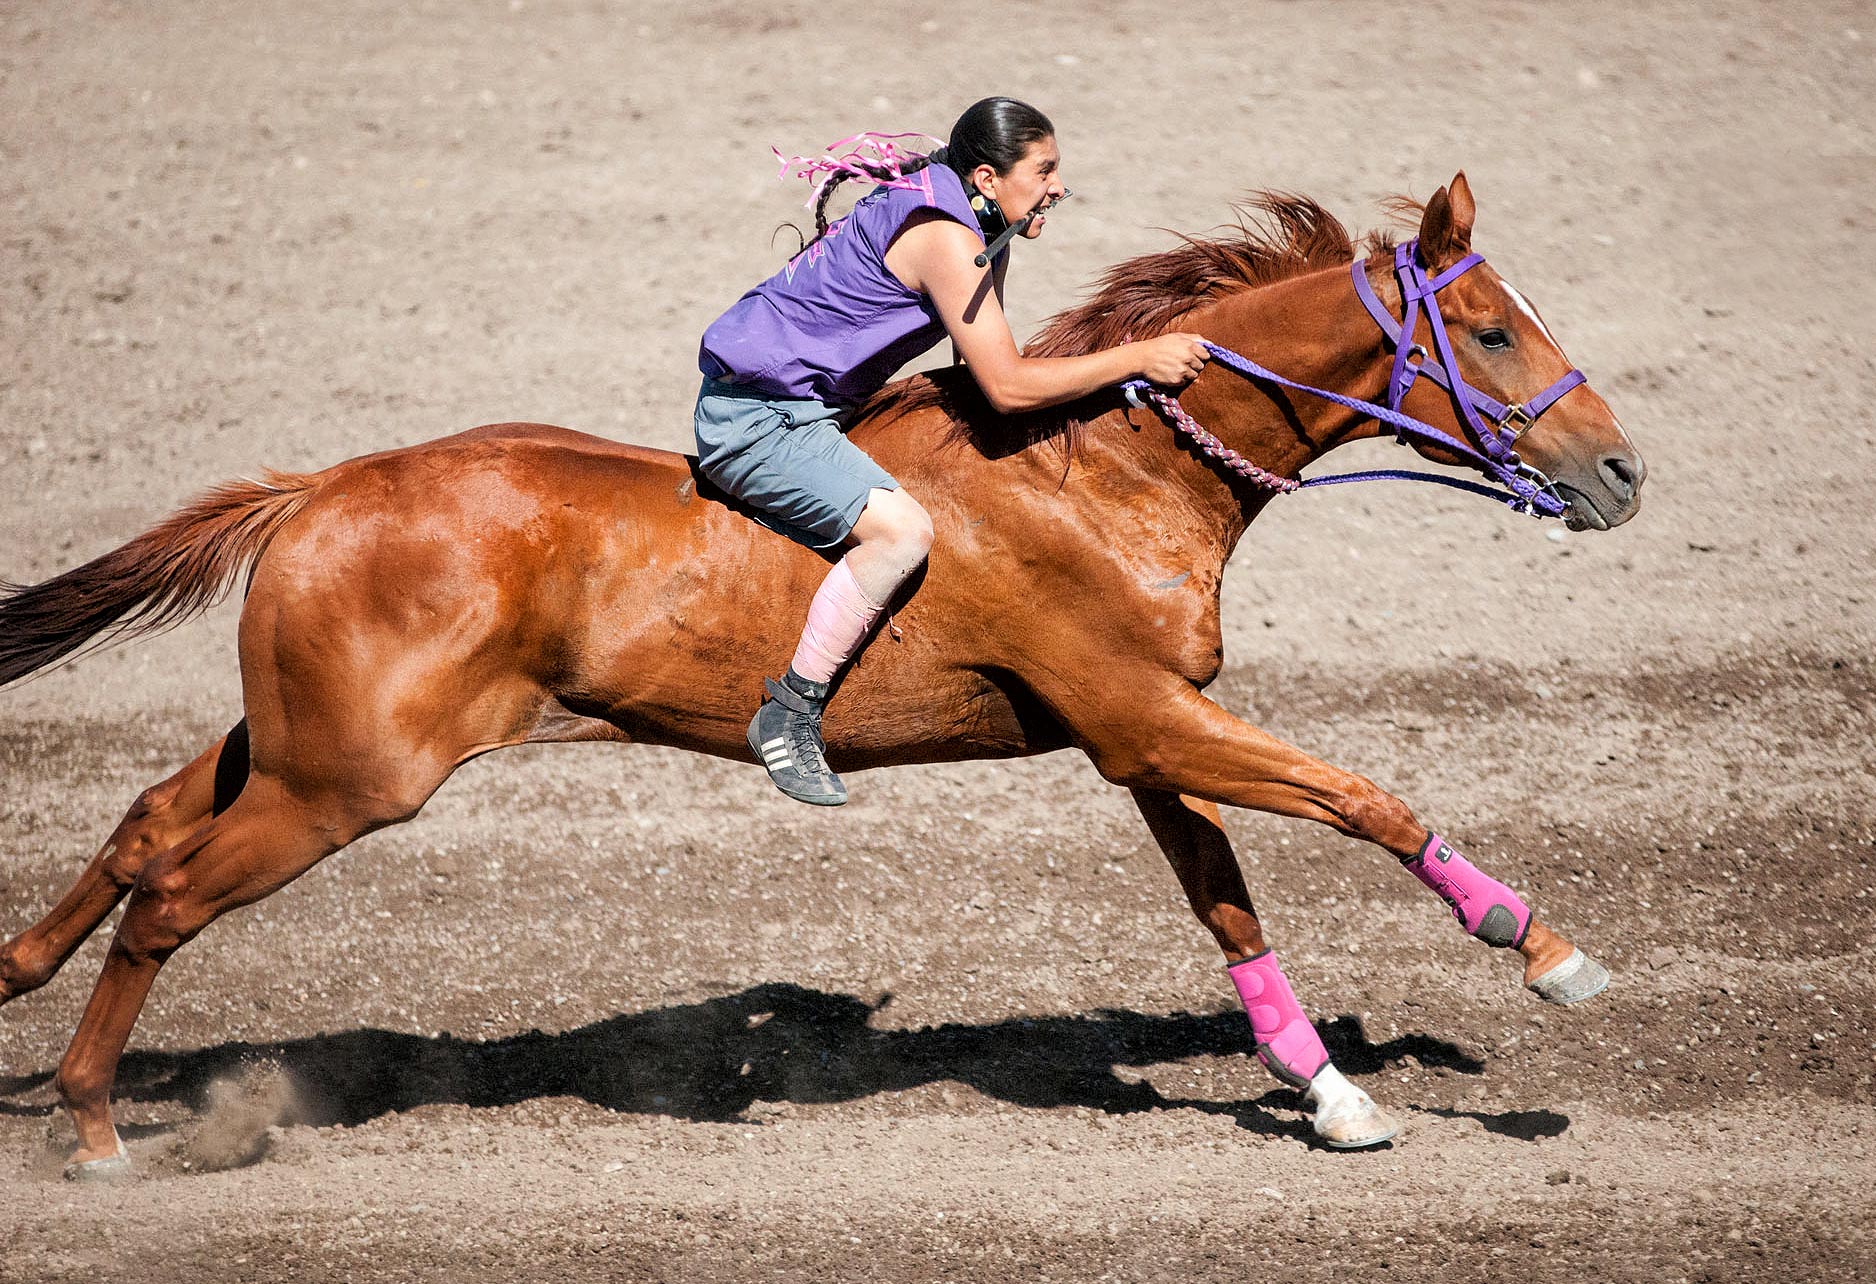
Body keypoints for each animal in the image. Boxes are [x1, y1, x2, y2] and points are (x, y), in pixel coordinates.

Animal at [0, 178, 1643, 1171]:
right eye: (1489, 331)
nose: (1623, 472)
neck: (1108, 465)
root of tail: (318, 488)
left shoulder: (1144, 739)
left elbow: (1228, 905)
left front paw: (1336, 1093)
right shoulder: (1150, 717)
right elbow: (1364, 798)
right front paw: (1542, 948)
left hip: (295, 744)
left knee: (144, 824)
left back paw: (19, 981)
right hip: (347, 782)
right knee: (167, 900)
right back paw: (92, 1130)